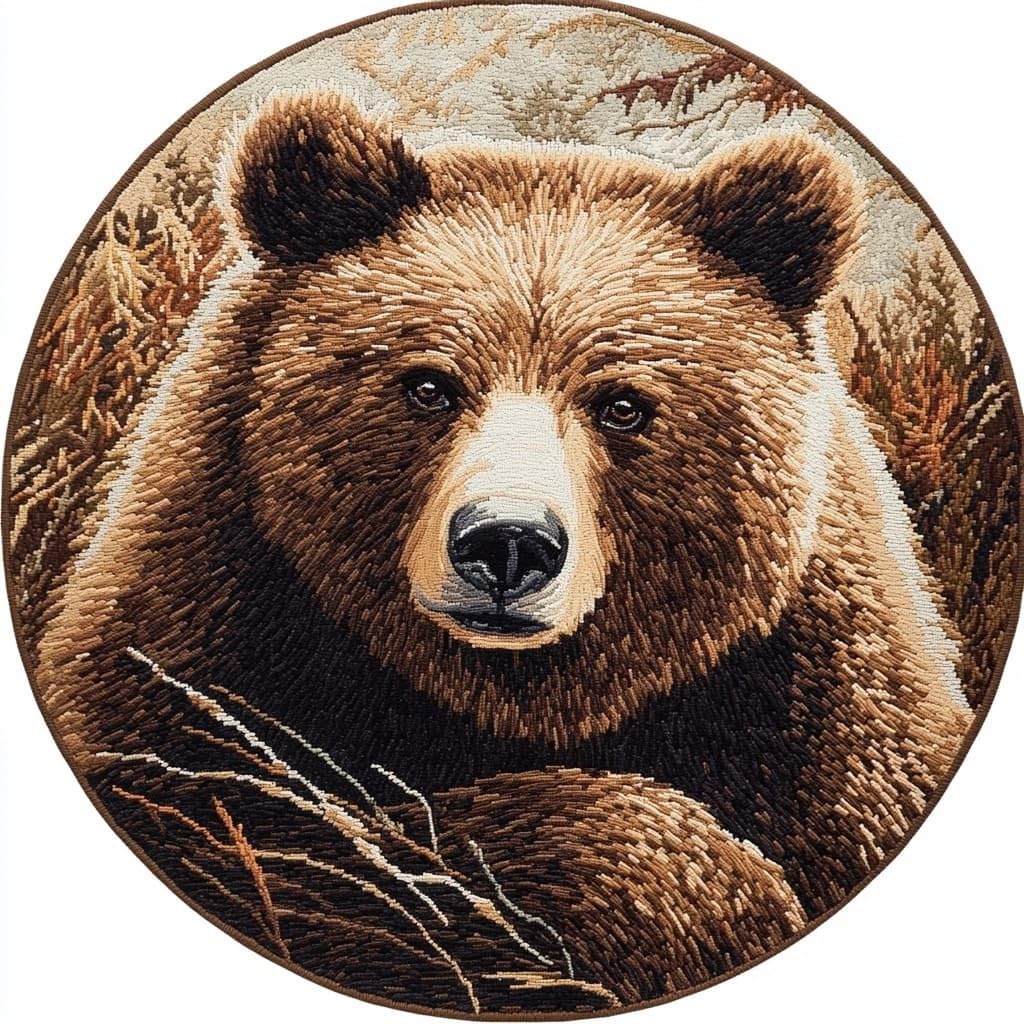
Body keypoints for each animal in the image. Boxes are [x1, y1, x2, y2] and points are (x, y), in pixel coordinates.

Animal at [35, 90, 972, 1002]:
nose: (509, 543)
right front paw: (699, 891)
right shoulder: (208, 615)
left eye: (622, 404)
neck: (521, 697)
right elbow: (256, 827)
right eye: (428, 385)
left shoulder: (816, 700)